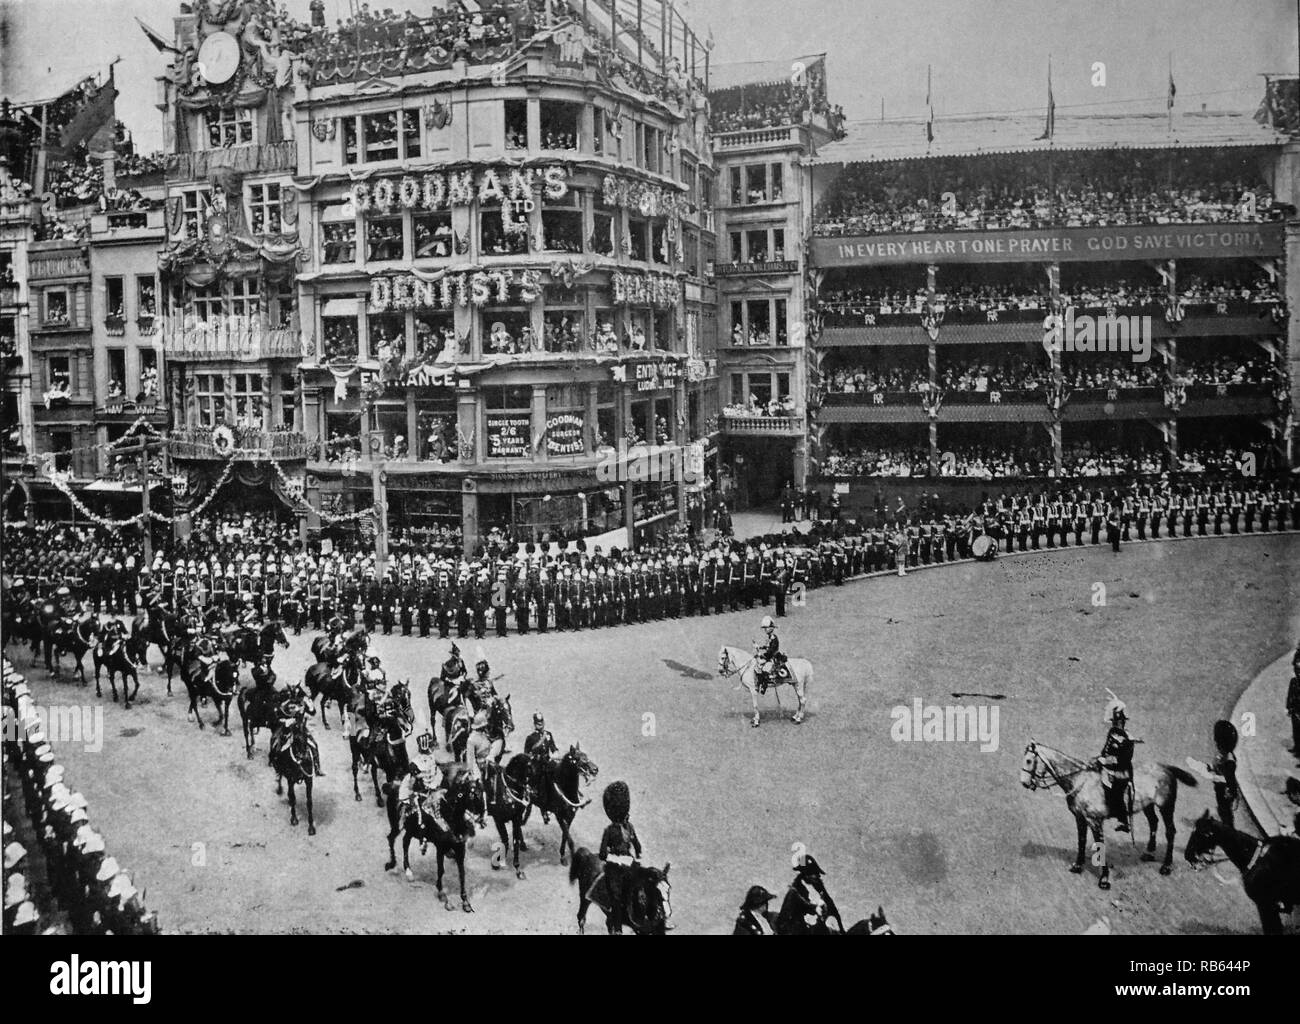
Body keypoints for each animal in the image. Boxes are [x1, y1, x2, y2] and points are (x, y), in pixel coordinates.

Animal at [387, 769, 488, 909]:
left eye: (483, 792)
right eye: (474, 794)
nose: (483, 816)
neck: (449, 816)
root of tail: (392, 785)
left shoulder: (460, 848)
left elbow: (461, 873)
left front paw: (465, 901)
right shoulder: (440, 847)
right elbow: (441, 870)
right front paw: (441, 893)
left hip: (411, 830)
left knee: (405, 842)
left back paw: (408, 872)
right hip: (396, 825)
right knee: (391, 839)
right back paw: (393, 864)